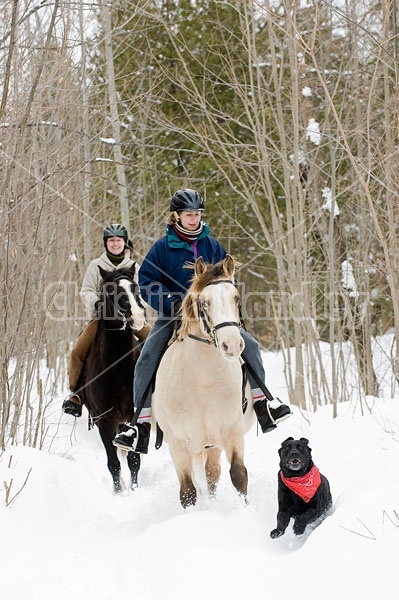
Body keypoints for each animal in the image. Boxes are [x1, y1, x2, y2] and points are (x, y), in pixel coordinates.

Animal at [81, 264, 147, 494]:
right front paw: (119, 492)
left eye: (136, 288)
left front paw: (135, 490)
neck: (117, 369)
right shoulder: (104, 421)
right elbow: (113, 463)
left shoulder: (134, 417)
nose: (137, 316)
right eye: (111, 291)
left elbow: (134, 461)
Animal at [152, 255, 255, 508]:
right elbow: (188, 492)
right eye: (204, 303)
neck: (202, 381)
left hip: (213, 444)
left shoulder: (231, 433)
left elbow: (238, 475)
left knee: (212, 474)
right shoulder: (178, 444)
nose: (231, 345)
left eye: (236, 297)